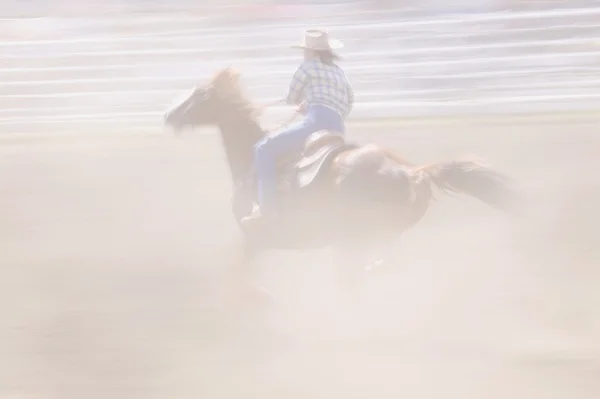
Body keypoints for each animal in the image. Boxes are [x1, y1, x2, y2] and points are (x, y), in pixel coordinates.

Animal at [162, 67, 516, 302]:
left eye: (200, 93)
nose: (169, 114)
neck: (250, 156)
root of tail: (413, 171)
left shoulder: (254, 238)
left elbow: (240, 277)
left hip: (361, 234)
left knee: (365, 271)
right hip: (380, 235)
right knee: (381, 266)